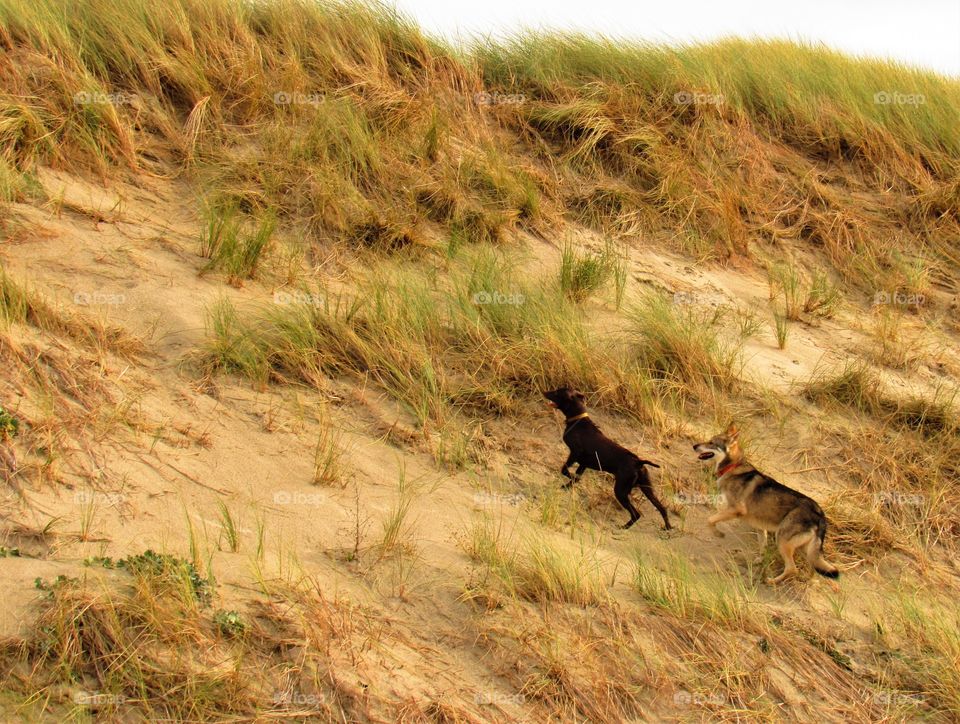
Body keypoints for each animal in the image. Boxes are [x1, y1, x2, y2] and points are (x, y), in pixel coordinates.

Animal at [544, 388, 672, 528]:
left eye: (557, 392)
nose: (545, 392)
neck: (578, 421)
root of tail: (638, 462)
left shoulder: (575, 453)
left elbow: (565, 470)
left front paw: (569, 479)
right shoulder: (584, 463)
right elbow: (576, 478)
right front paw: (567, 486)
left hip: (621, 490)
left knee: (636, 514)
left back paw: (624, 527)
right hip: (647, 489)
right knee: (662, 508)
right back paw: (667, 527)